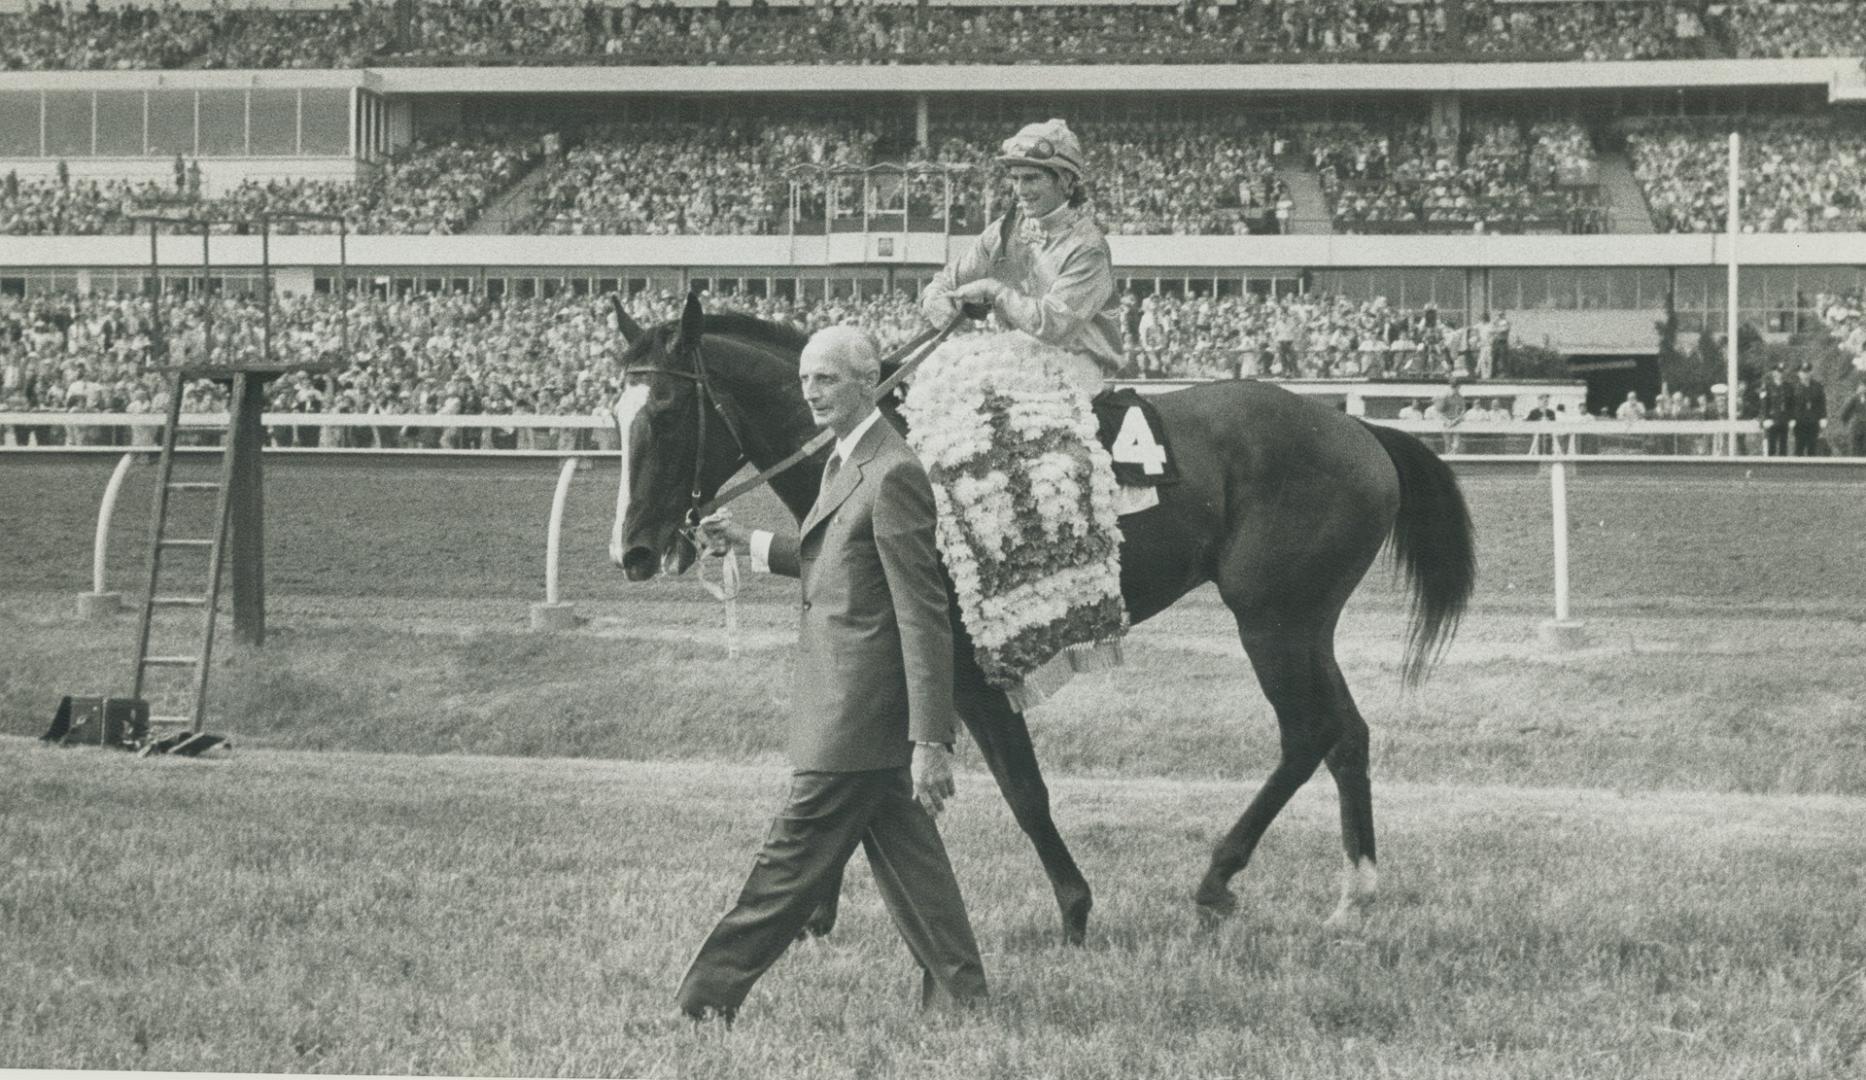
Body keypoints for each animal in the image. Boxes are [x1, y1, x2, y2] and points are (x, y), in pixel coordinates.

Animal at [608, 298, 1470, 947]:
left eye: (666, 411)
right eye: (614, 416)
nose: (634, 550)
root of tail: (1360, 431)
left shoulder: (967, 670)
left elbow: (1023, 790)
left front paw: (1074, 909)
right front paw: (811, 911)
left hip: (1274, 621)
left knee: (1308, 732)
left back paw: (1218, 877)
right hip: (1306, 624)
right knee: (1347, 733)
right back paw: (1354, 892)